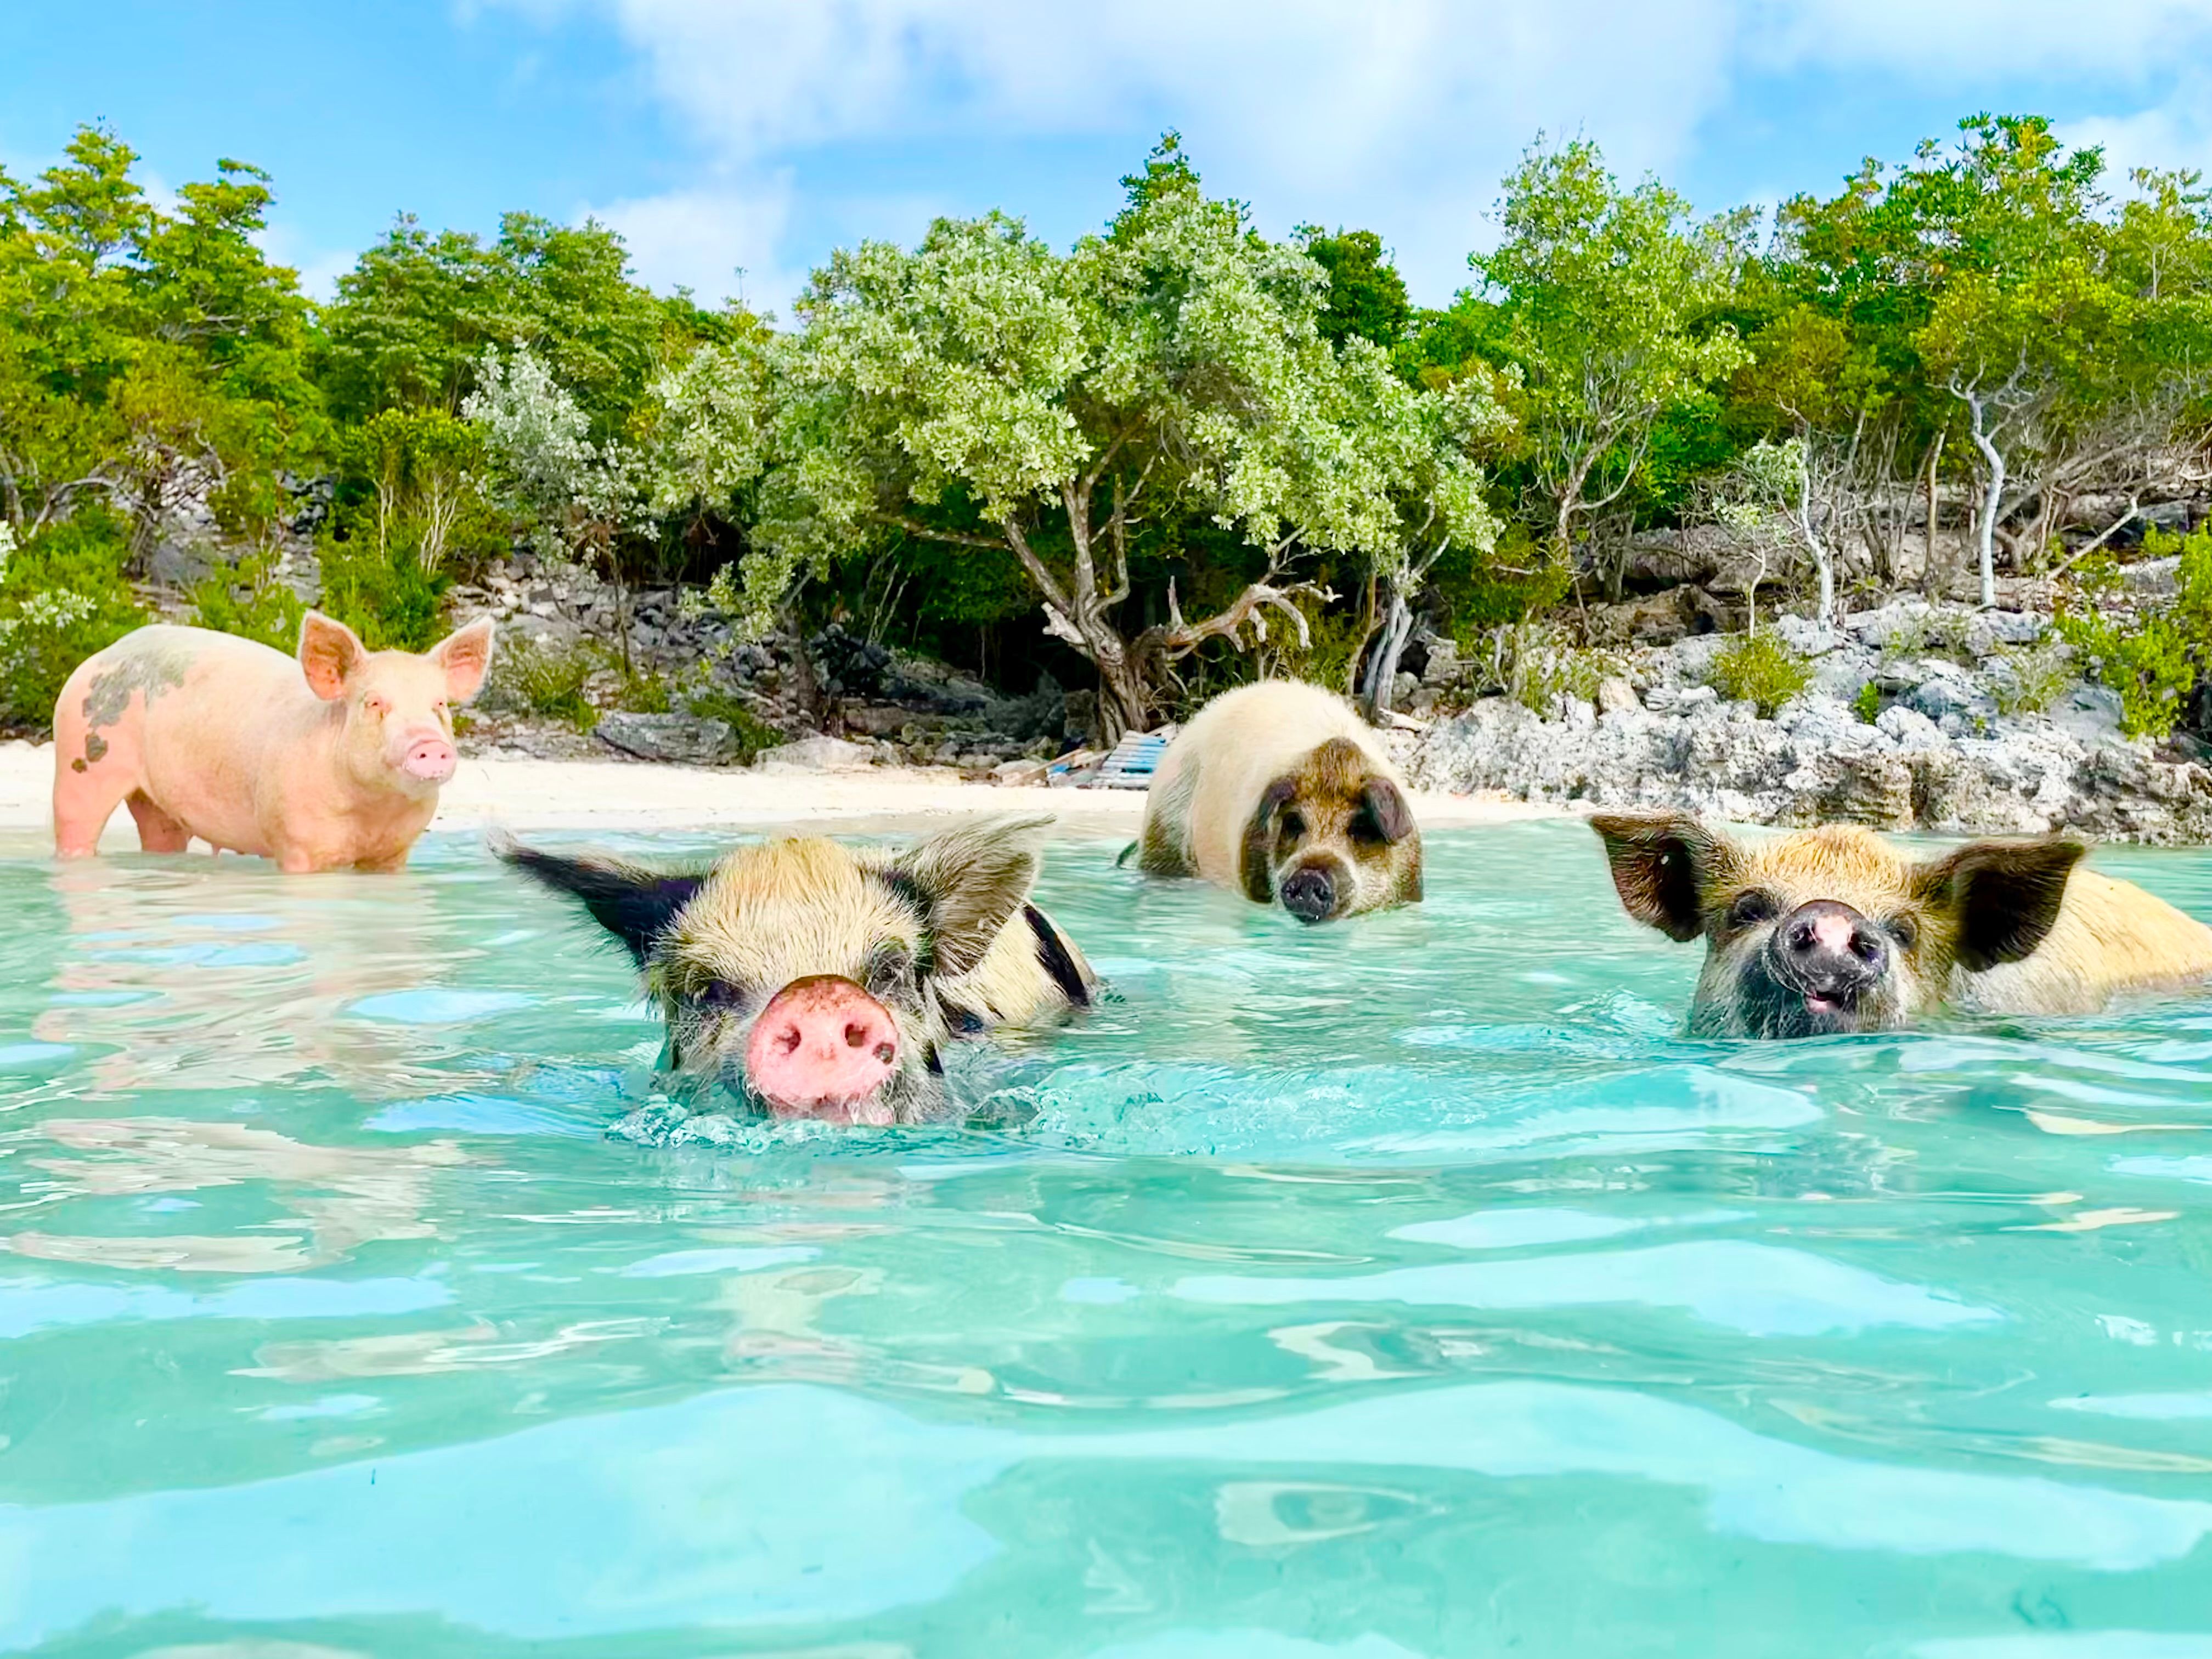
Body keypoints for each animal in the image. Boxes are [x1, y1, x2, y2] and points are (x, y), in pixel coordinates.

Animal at [51, 612, 494, 873]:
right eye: (374, 703)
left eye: (439, 705)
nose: (429, 743)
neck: (372, 811)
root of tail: (106, 652)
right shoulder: (297, 839)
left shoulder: (395, 852)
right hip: (79, 755)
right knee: (75, 822)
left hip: (157, 803)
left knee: (161, 835)